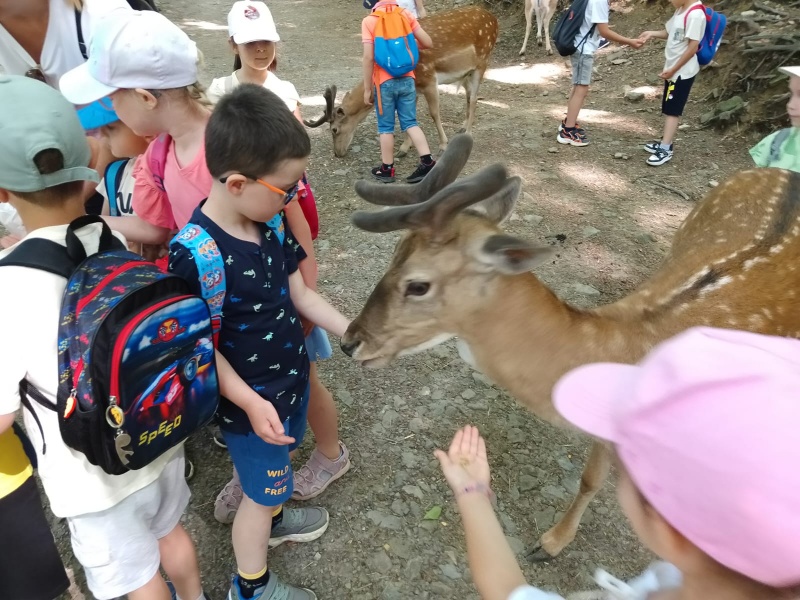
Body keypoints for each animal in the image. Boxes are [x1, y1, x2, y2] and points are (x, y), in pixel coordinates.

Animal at [303, 6, 498, 158]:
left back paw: (469, 133)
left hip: (482, 61)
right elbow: (406, 115)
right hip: (465, 72)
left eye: (334, 129)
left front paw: (443, 145)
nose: (337, 153)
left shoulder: (429, 78)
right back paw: (462, 127)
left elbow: (434, 113)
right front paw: (404, 148)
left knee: (474, 98)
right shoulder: (414, 87)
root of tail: (493, 18)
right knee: (468, 95)